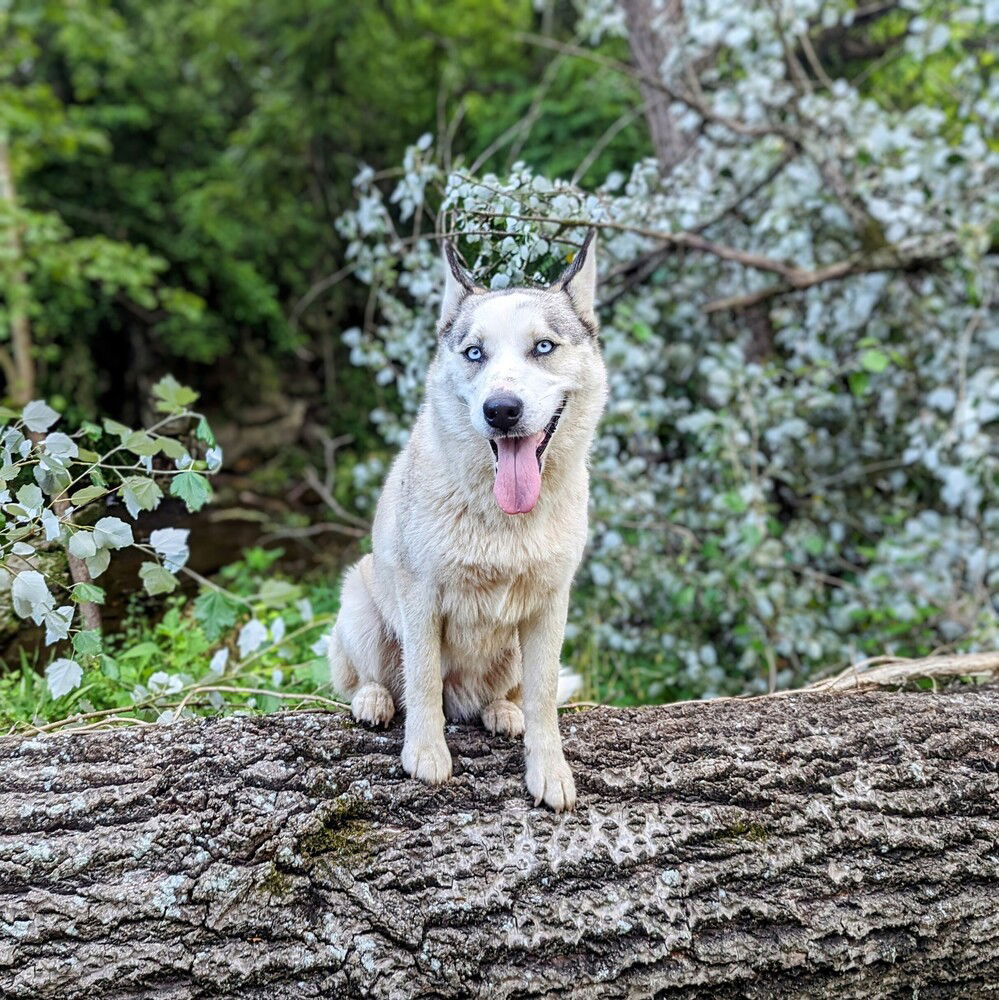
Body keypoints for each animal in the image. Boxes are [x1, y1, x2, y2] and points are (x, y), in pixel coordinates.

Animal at [330, 234, 608, 812]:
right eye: (474, 353)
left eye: (543, 347)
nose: (501, 410)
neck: (504, 518)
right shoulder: (421, 596)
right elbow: (423, 680)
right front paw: (426, 754)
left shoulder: (551, 605)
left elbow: (545, 694)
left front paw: (549, 770)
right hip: (361, 604)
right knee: (370, 679)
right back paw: (373, 700)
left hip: (510, 651)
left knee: (506, 694)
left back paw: (502, 710)